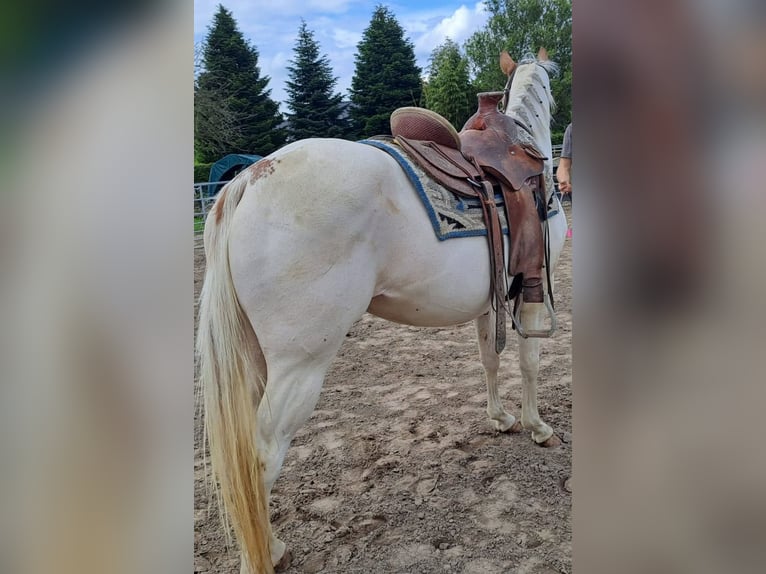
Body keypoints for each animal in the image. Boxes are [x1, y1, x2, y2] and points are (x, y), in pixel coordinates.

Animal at [197, 49, 568, 573]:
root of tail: (250, 176)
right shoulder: (533, 291)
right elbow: (530, 363)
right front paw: (538, 428)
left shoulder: (491, 297)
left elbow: (489, 360)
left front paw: (500, 419)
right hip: (297, 367)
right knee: (262, 457)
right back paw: (265, 555)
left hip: (253, 361)